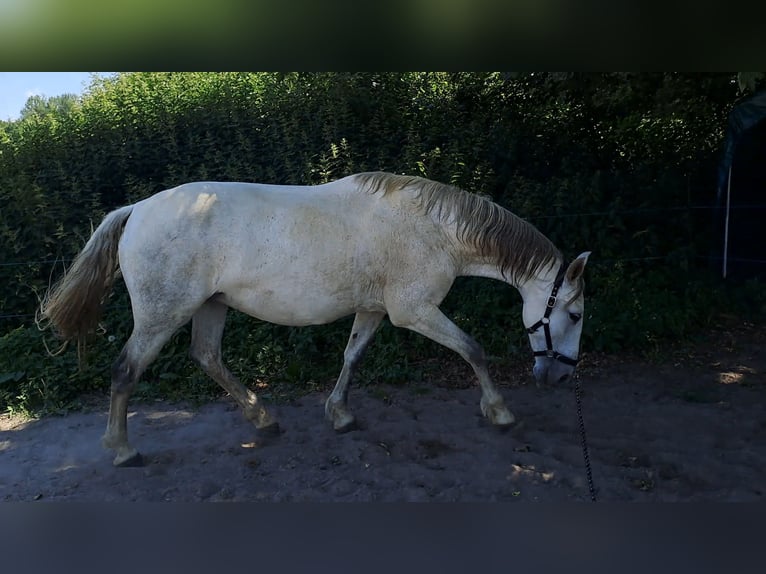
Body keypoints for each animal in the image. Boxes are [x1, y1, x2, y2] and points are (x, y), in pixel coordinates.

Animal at [39, 172, 590, 467]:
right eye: (575, 312)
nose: (559, 375)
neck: (433, 229)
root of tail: (137, 210)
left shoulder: (374, 309)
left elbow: (352, 356)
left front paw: (339, 414)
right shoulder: (414, 311)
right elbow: (473, 349)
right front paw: (499, 411)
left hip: (210, 305)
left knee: (208, 357)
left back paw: (263, 418)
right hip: (162, 313)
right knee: (126, 371)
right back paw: (123, 449)